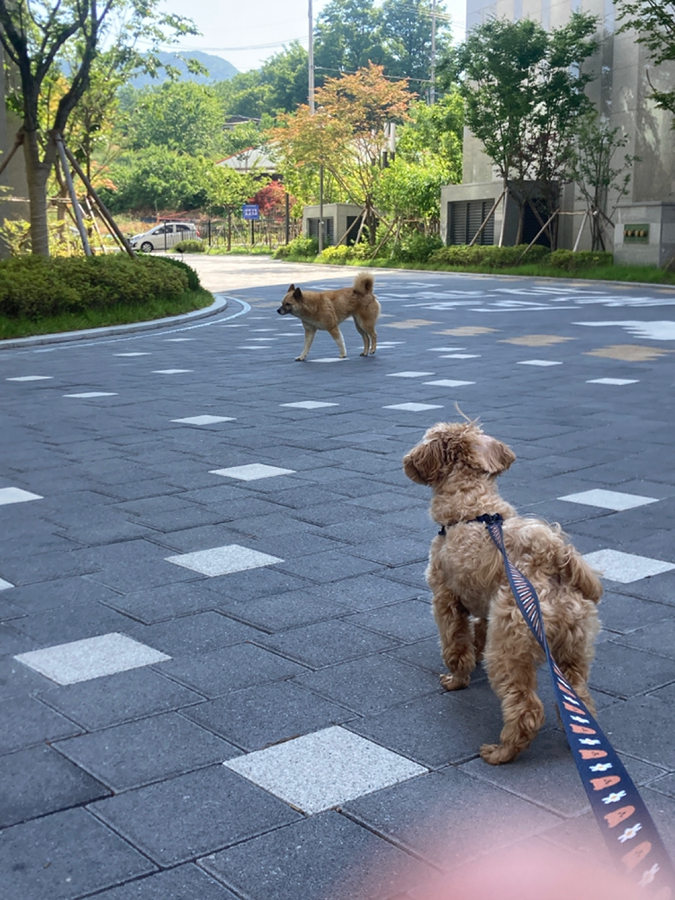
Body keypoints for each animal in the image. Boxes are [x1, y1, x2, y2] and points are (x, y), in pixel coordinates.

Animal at [404, 422, 604, 768]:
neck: (471, 507)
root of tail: (553, 558)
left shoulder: (445, 599)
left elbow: (455, 647)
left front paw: (456, 680)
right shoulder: (485, 608)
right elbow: (477, 634)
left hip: (508, 649)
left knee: (526, 708)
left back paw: (501, 752)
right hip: (573, 648)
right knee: (579, 698)